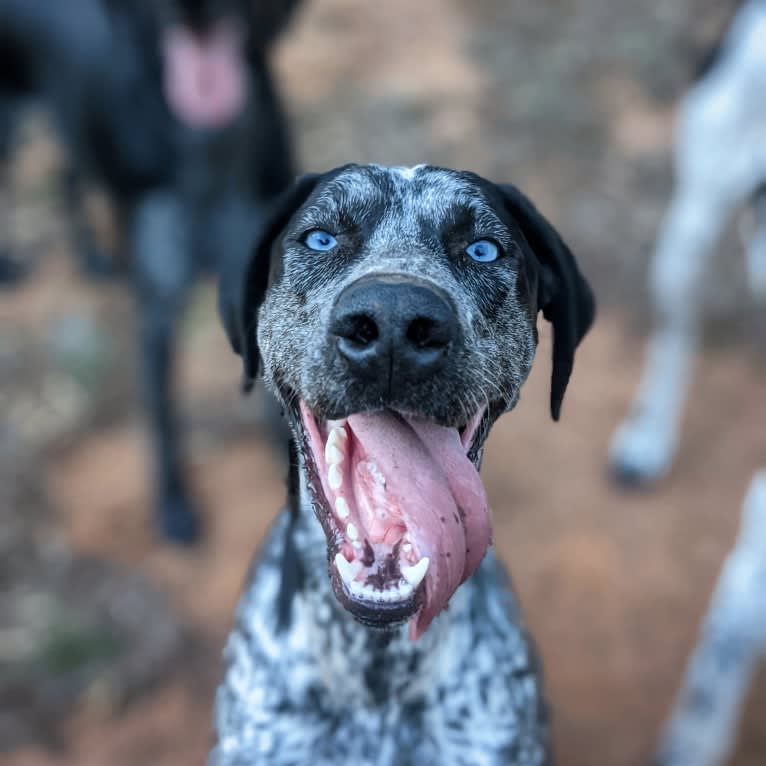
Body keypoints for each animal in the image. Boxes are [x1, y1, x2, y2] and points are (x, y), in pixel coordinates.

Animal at [0, 0, 300, 544]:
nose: (193, 10)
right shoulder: (156, 308)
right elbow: (164, 413)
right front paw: (173, 504)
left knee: (67, 174)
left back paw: (91, 259)